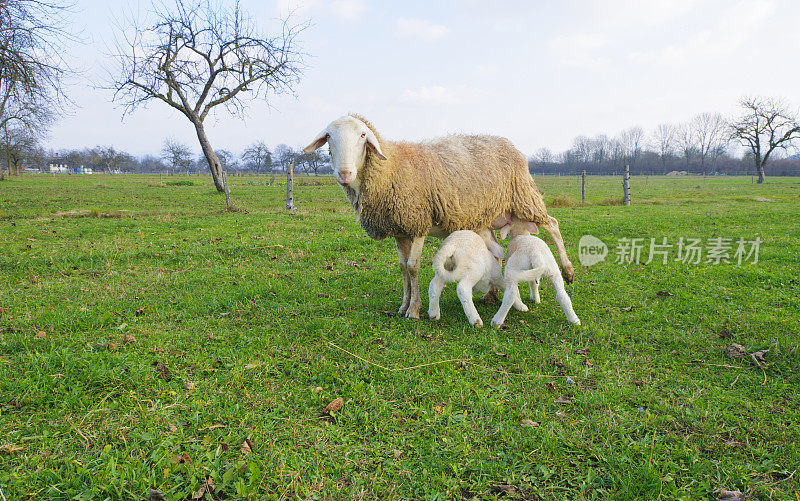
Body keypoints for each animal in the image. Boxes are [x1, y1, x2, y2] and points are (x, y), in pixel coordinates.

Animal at [304, 114, 572, 316]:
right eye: (329, 137)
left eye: (362, 136)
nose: (344, 174)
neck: (389, 168)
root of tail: (509, 144)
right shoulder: (400, 230)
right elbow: (402, 268)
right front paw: (403, 305)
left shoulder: (418, 223)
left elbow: (413, 267)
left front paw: (414, 310)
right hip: (490, 214)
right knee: (497, 250)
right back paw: (491, 295)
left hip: (524, 197)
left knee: (552, 225)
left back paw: (568, 271)